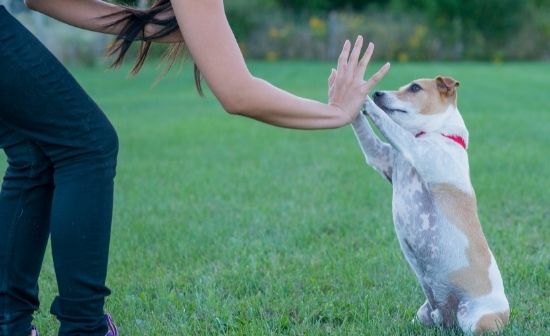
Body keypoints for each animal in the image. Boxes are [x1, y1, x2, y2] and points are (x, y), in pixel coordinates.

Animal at [354, 75, 512, 334]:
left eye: (415, 88)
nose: (378, 93)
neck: (439, 134)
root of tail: (446, 315)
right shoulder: (380, 157)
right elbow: (366, 132)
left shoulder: (415, 149)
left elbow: (388, 124)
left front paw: (364, 98)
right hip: (423, 314)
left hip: (476, 320)